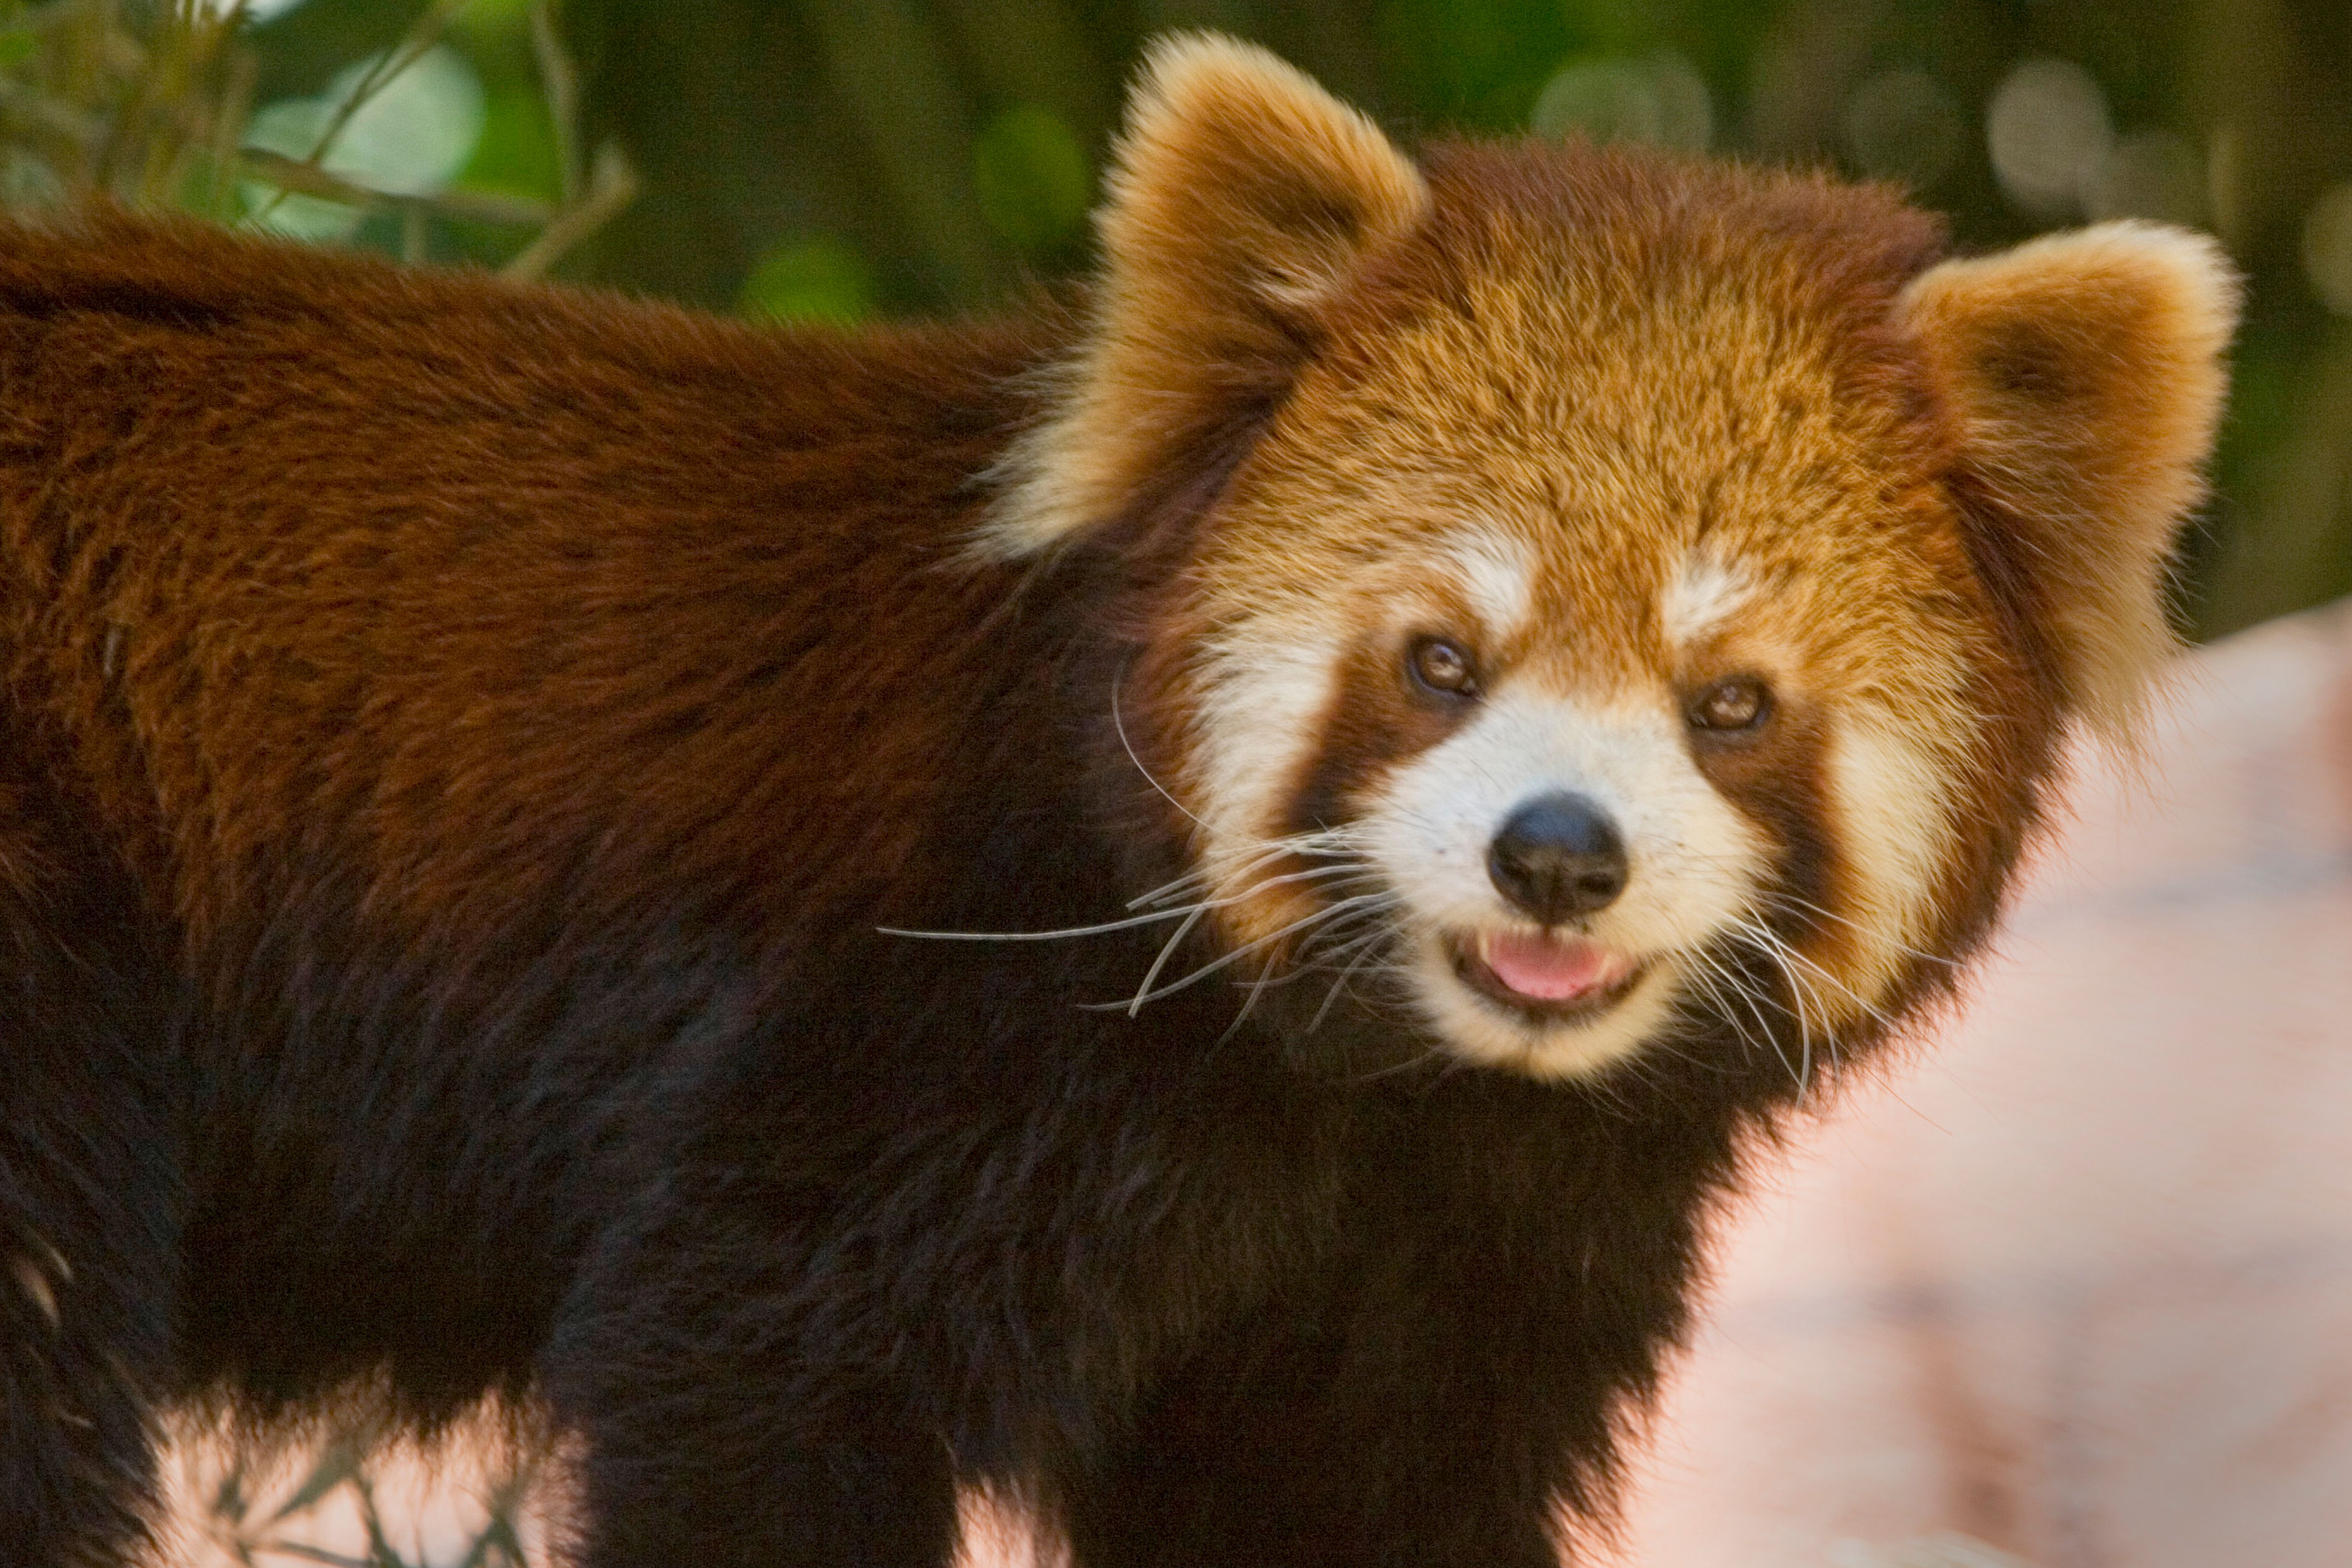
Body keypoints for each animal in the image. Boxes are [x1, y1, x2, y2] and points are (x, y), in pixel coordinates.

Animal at [0, 32, 2233, 1568]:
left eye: (1730, 703)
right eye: (1441, 659)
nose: (1555, 857)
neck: (1373, 1094)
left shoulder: (1445, 1263)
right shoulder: (921, 1023)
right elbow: (745, 1387)